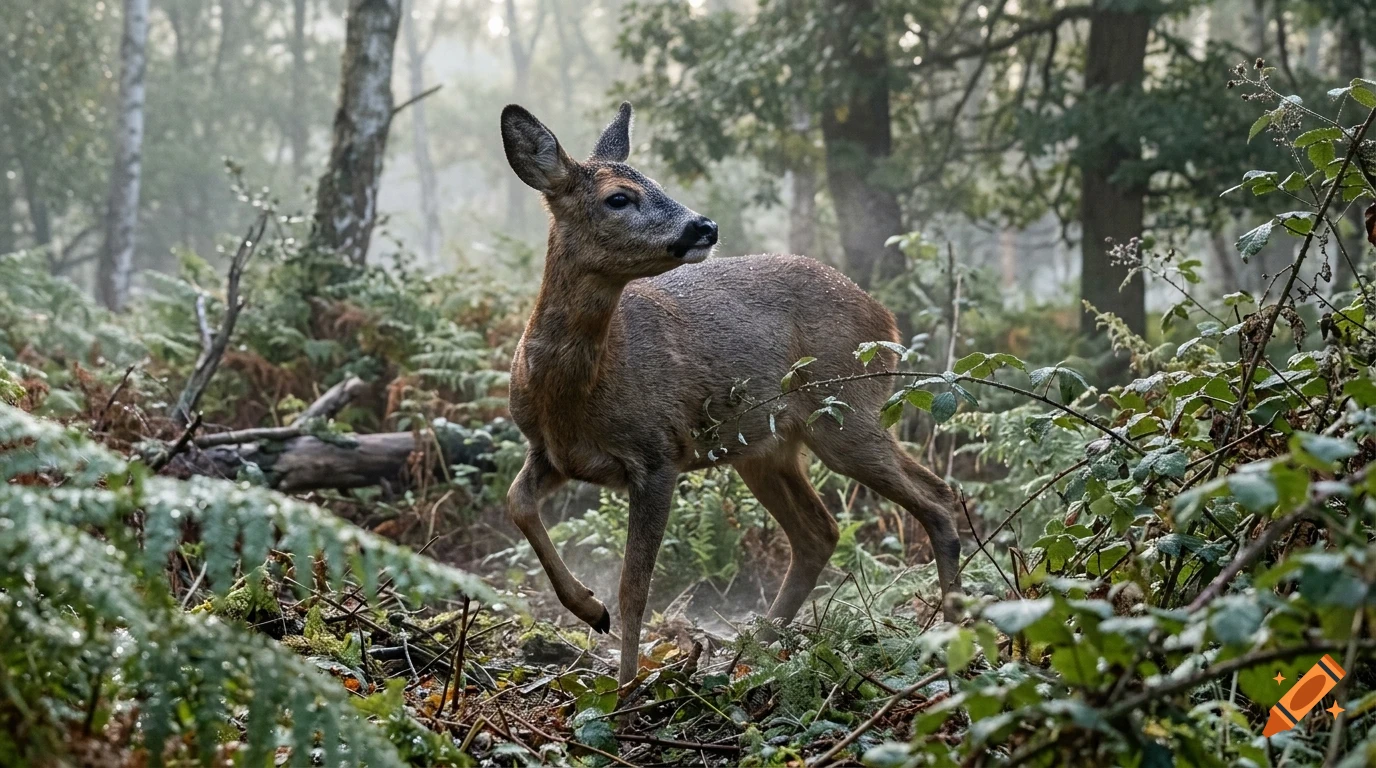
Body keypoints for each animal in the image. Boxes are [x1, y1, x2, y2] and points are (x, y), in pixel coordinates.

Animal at [501, 101, 963, 686]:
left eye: (657, 182)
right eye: (618, 197)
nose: (705, 225)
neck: (574, 393)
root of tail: (888, 324)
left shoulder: (657, 453)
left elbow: (635, 589)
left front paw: (626, 685)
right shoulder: (553, 452)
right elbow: (517, 503)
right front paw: (588, 607)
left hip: (843, 412)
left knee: (935, 497)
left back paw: (952, 641)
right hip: (764, 447)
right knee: (821, 530)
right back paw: (752, 651)